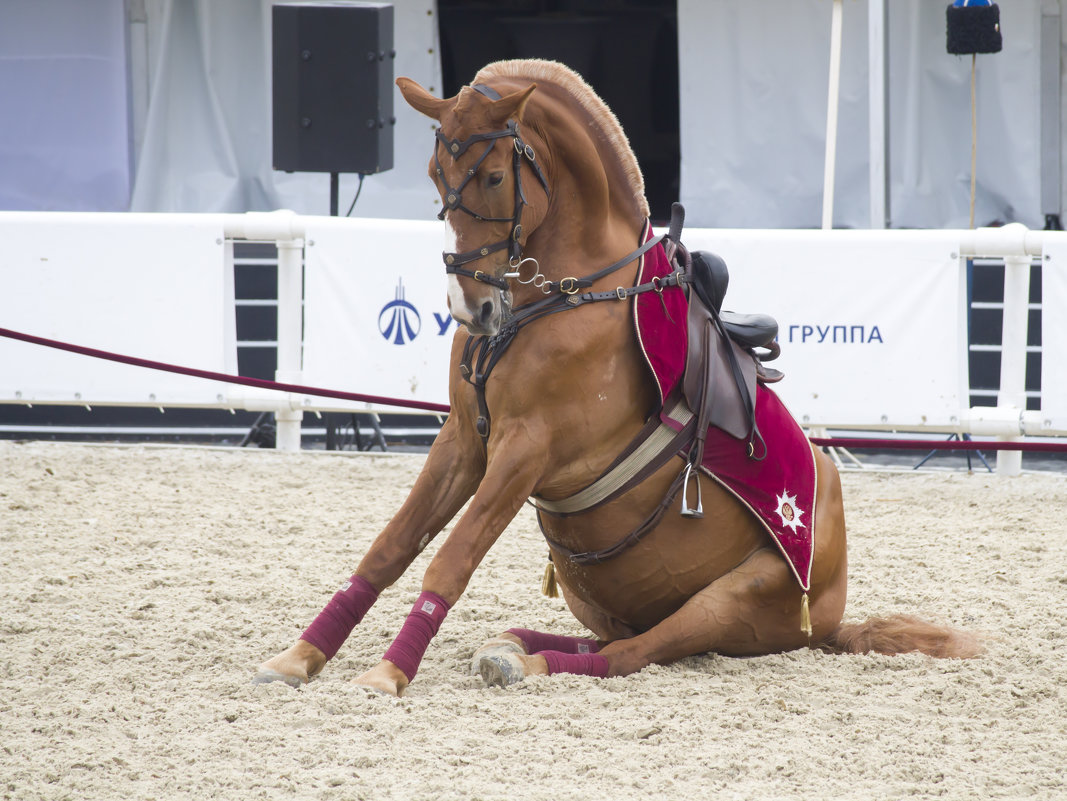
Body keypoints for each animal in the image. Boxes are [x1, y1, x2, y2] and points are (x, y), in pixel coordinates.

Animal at [253, 57, 977, 695]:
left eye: (494, 177)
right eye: (435, 172)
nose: (470, 307)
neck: (558, 299)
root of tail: (828, 619)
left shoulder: (526, 450)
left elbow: (451, 557)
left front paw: (387, 672)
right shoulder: (463, 439)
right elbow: (390, 546)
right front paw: (299, 656)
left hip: (732, 601)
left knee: (631, 654)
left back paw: (529, 664)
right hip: (600, 598)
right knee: (603, 640)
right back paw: (511, 645)